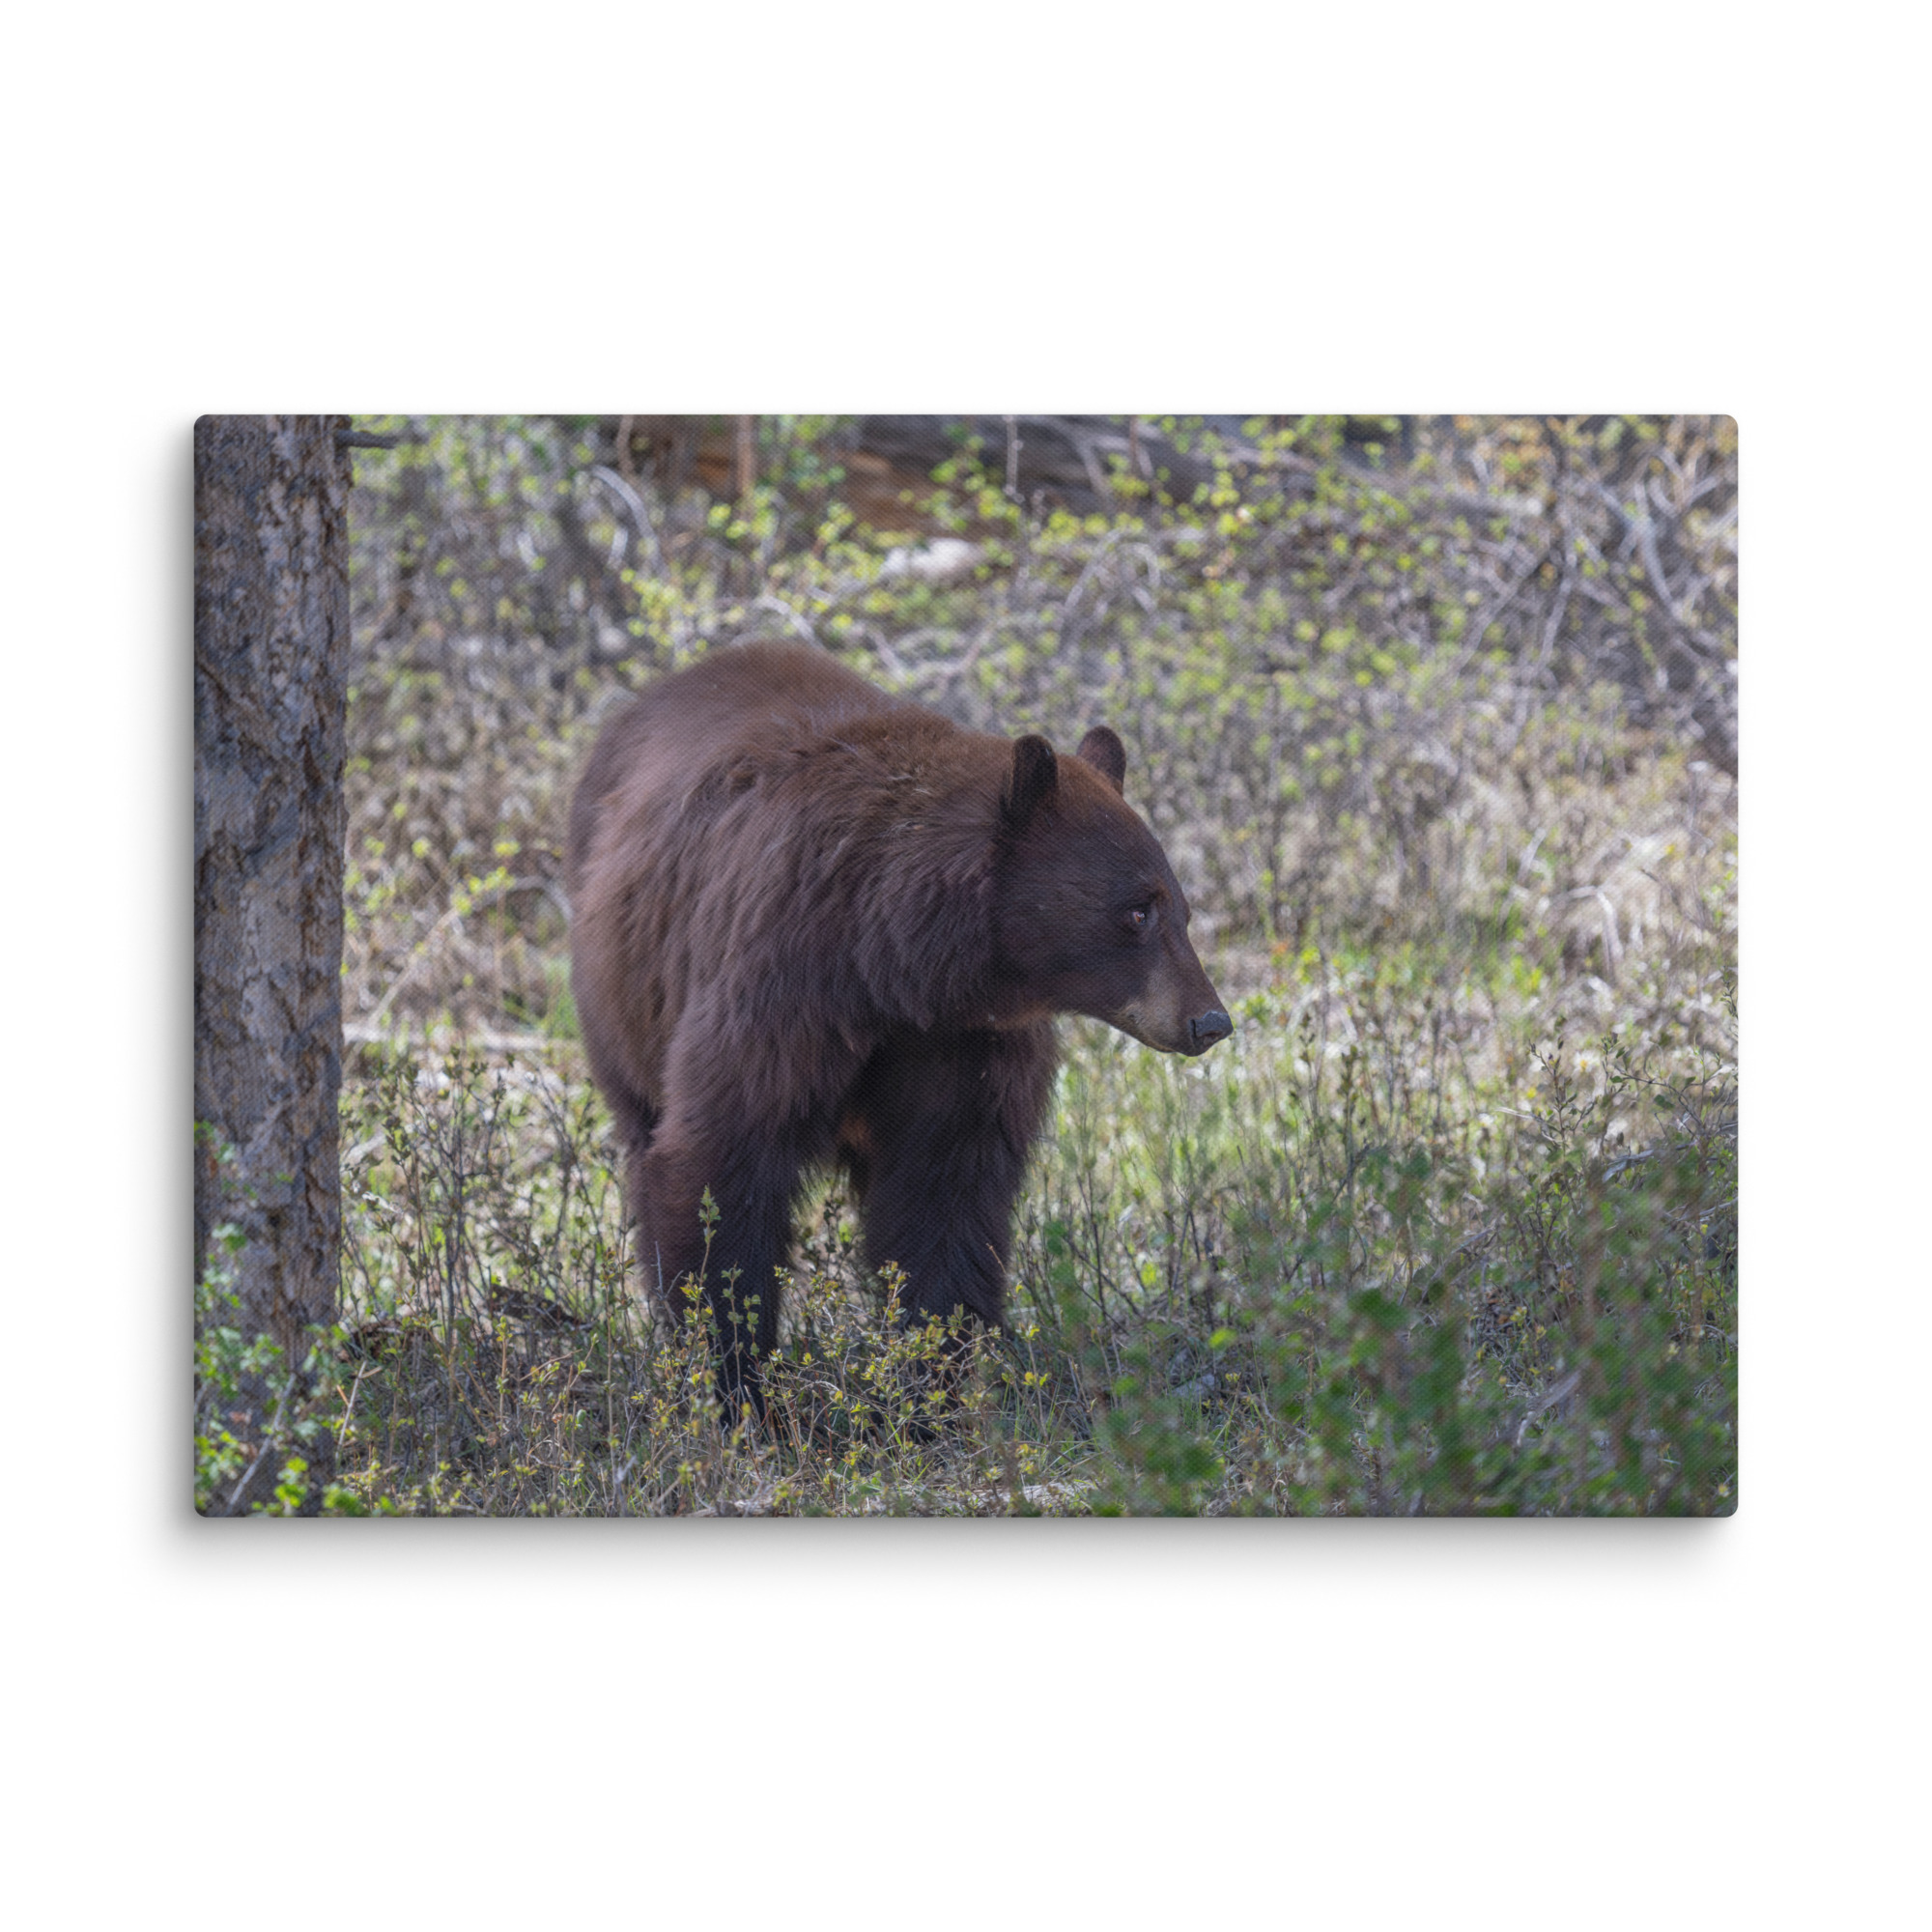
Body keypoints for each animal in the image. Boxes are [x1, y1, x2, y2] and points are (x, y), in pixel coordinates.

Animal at [565, 639, 1230, 1415]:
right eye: (1136, 910)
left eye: (1181, 908)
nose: (1209, 1020)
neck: (894, 963)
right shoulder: (781, 985)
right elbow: (722, 1161)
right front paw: (738, 1386)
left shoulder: (965, 1044)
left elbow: (945, 1194)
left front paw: (928, 1390)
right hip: (623, 999)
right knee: (645, 1136)